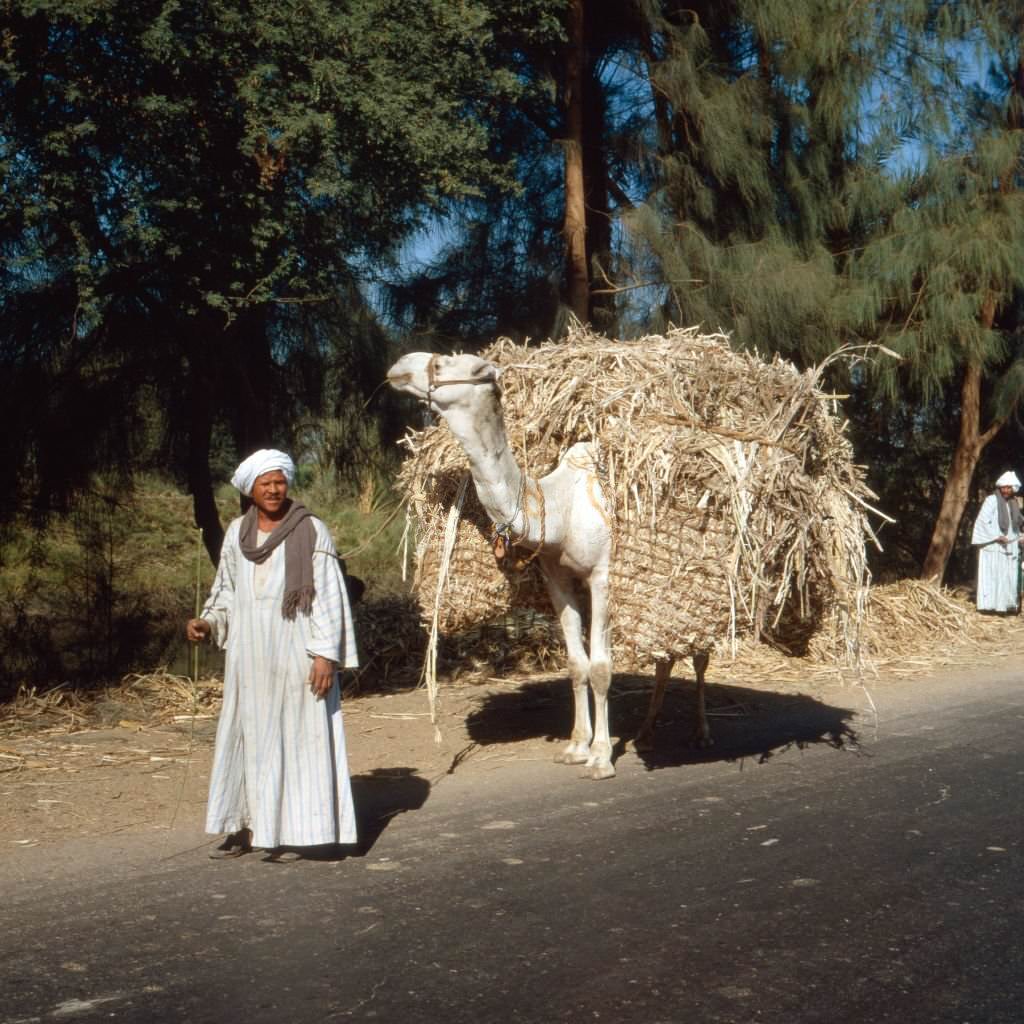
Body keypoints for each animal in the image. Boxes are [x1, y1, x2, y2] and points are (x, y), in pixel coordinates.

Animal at [385, 350, 712, 774]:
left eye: (444, 365)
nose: (400, 366)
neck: (558, 508)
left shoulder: (603, 576)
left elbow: (601, 668)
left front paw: (601, 757)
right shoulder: (558, 578)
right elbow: (576, 664)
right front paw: (576, 747)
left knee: (699, 651)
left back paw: (701, 733)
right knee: (664, 653)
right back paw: (646, 731)